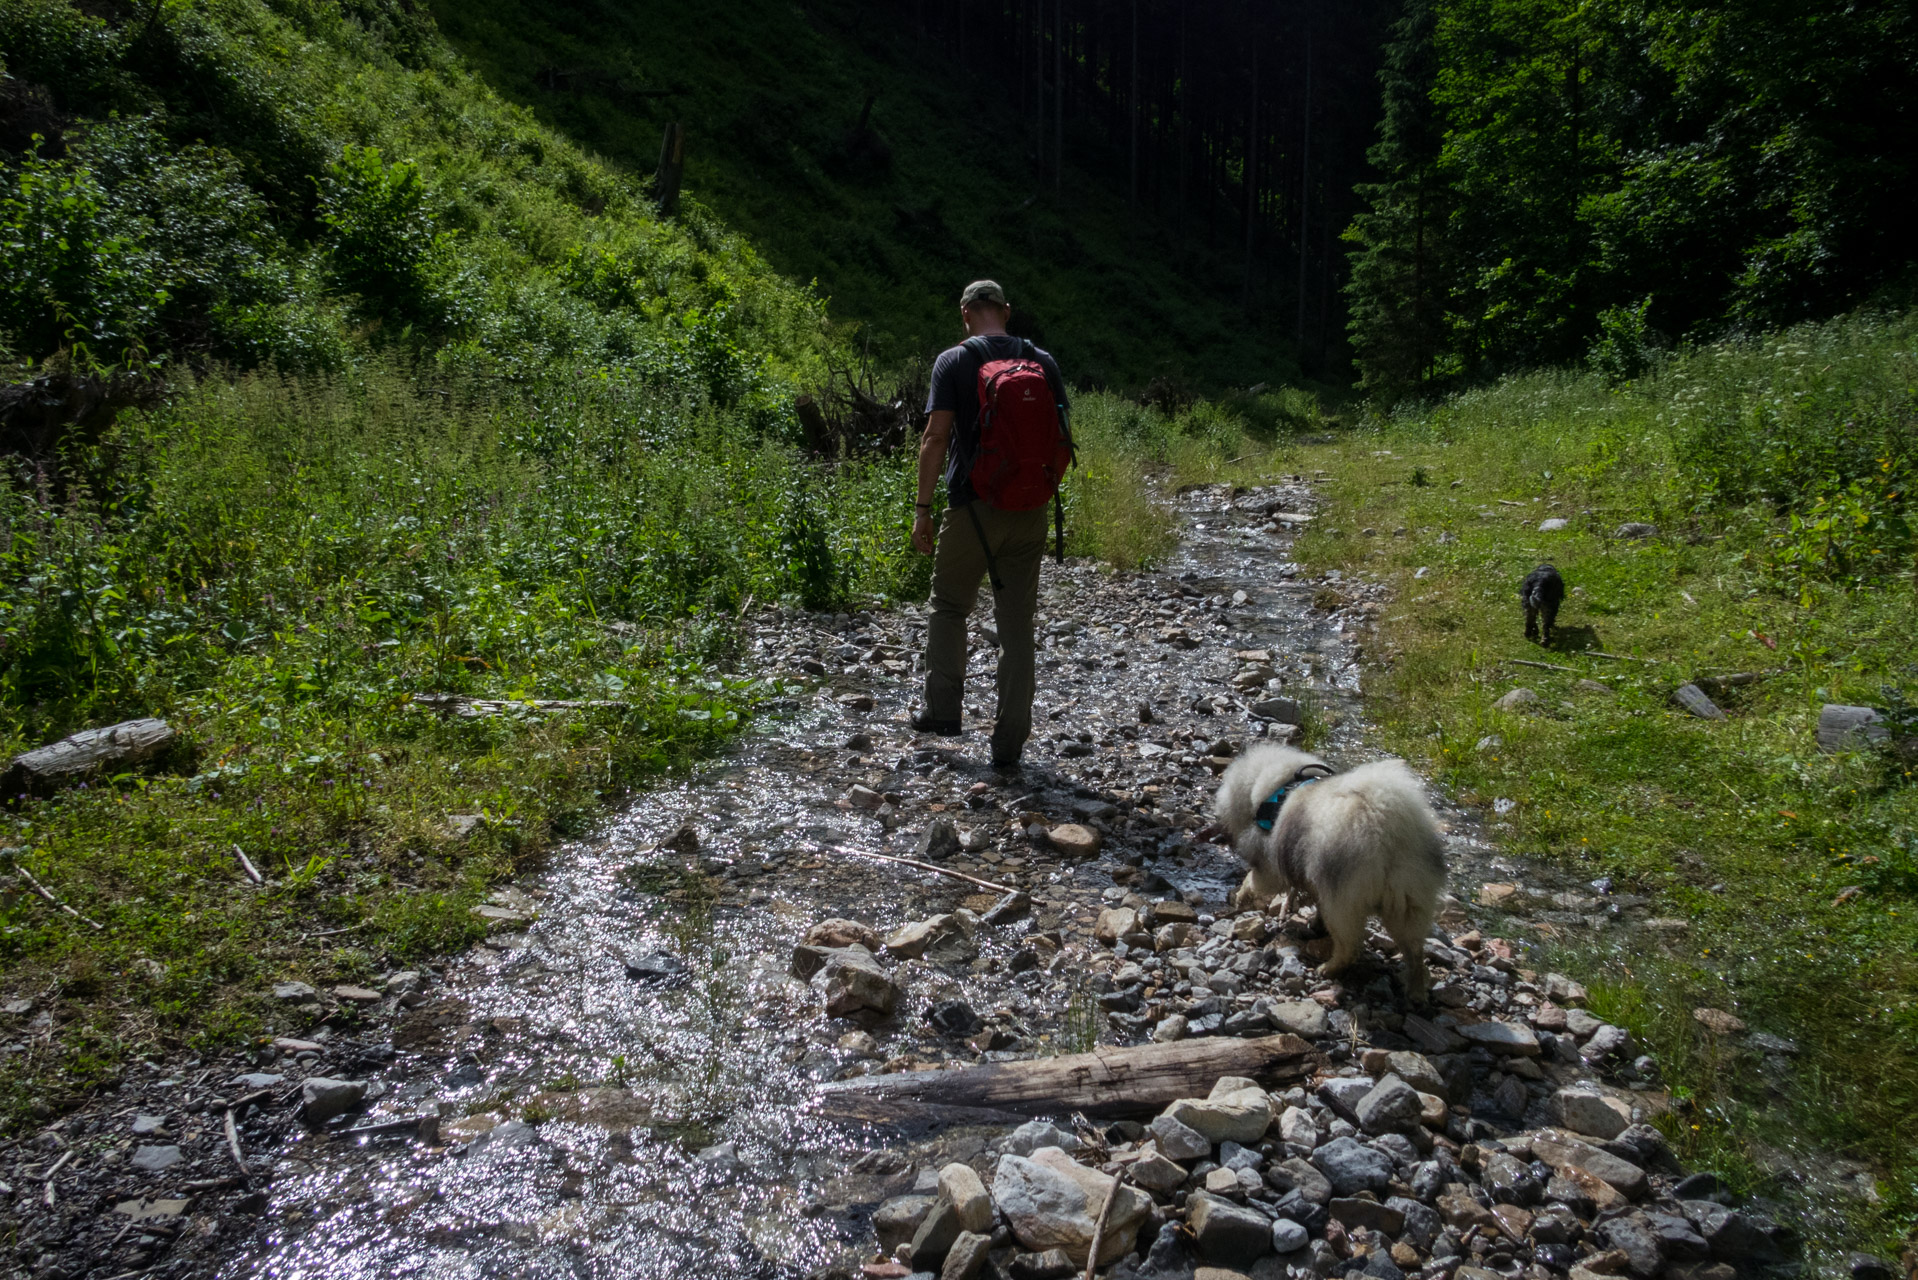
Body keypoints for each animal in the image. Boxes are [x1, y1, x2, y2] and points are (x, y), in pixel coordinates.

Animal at [1219, 740, 1442, 997]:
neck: (1279, 788)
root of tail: (1388, 835)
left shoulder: (1270, 869)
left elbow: (1251, 880)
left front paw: (1240, 897)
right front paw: (1315, 922)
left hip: (1343, 904)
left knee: (1349, 947)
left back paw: (1328, 969)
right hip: (1408, 905)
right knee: (1415, 954)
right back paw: (1416, 992)